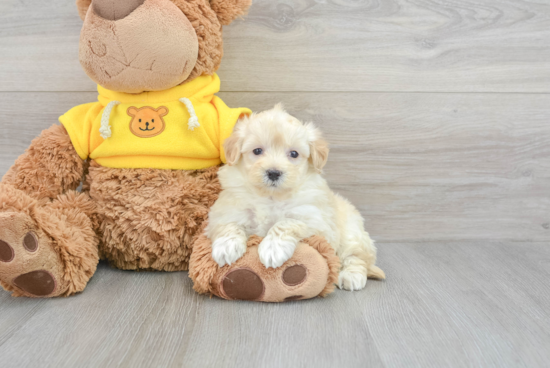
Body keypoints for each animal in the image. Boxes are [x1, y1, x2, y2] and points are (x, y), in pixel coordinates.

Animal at [205, 103, 386, 290]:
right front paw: (226, 246)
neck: (271, 196)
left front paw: (273, 249)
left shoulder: (316, 221)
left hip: (352, 232)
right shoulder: (225, 211)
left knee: (356, 256)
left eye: (294, 154)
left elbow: (287, 222)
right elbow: (229, 225)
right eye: (257, 150)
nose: (274, 173)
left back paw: (352, 276)